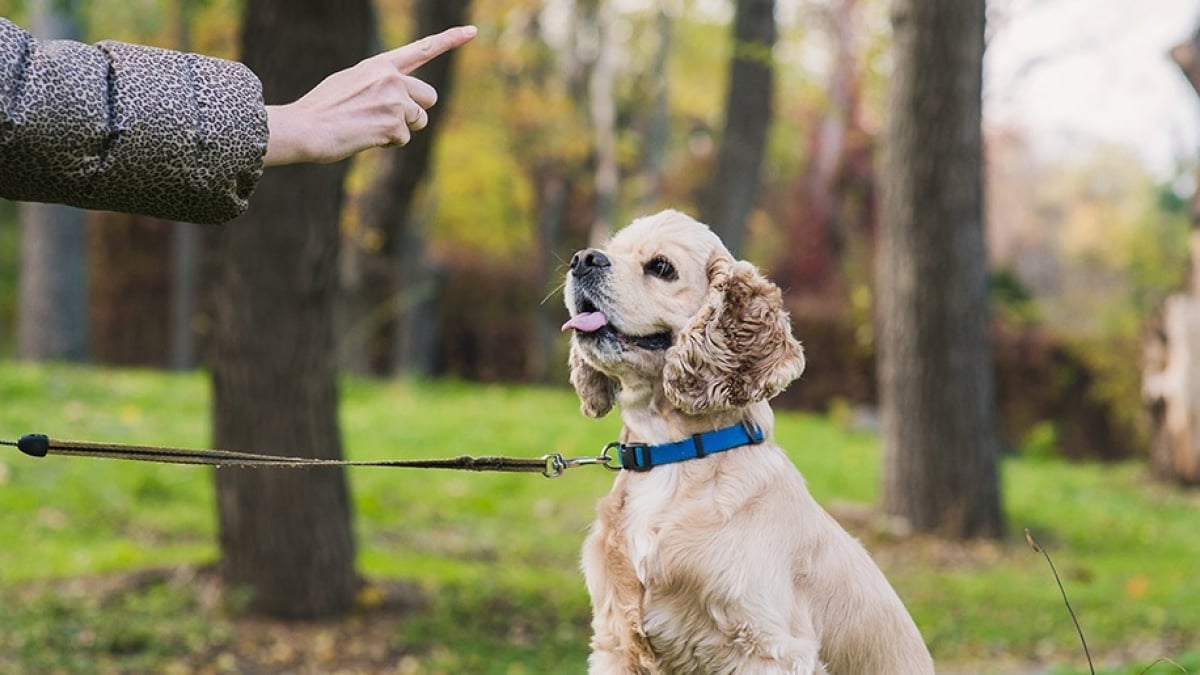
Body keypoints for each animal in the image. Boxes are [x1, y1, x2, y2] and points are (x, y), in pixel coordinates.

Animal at [561, 210, 936, 672]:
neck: (671, 456)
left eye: (661, 267)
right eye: (611, 249)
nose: (582, 258)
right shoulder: (616, 641)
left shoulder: (767, 647)